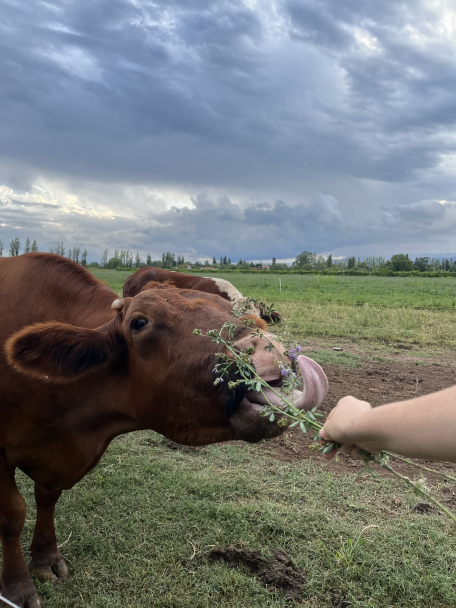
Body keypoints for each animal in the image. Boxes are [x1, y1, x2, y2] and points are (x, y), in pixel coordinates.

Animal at [0, 253, 328, 608]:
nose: (268, 350)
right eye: (139, 322)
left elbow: (47, 498)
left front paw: (45, 559)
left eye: (238, 314)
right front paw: (17, 587)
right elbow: (12, 515)